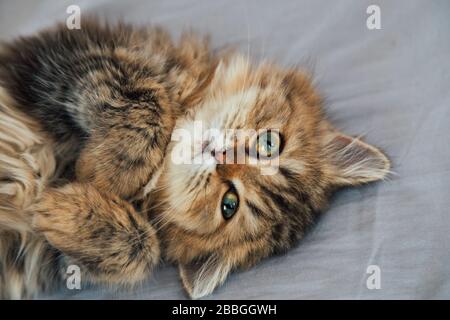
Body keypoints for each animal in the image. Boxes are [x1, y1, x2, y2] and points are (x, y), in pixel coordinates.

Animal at [0, 20, 388, 300]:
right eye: (268, 143)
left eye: (229, 205)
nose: (221, 156)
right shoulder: (72, 53)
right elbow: (146, 102)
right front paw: (107, 173)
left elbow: (144, 249)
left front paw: (63, 204)